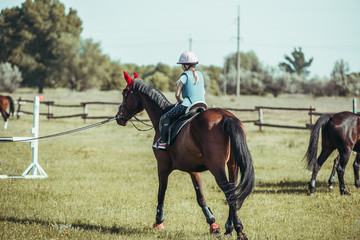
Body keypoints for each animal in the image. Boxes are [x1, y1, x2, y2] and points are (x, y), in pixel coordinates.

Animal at [115, 71, 253, 240]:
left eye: (124, 93)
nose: (119, 118)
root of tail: (225, 116)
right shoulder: (193, 170)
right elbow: (200, 196)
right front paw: (212, 224)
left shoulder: (162, 167)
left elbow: (161, 193)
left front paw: (159, 222)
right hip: (232, 165)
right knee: (232, 190)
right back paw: (229, 228)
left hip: (217, 167)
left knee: (229, 192)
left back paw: (239, 230)